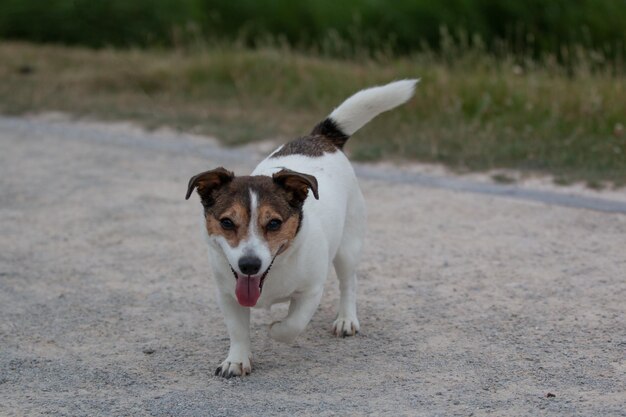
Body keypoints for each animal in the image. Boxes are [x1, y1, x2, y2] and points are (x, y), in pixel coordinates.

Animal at [188, 79, 416, 376]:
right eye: (227, 222)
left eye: (274, 223)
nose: (249, 264)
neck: (272, 273)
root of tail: (319, 138)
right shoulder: (228, 294)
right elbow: (237, 330)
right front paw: (236, 360)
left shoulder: (311, 291)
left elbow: (292, 324)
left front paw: (275, 329)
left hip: (348, 246)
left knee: (349, 282)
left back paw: (346, 318)